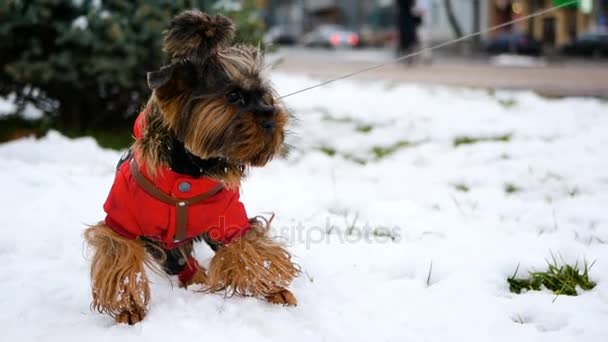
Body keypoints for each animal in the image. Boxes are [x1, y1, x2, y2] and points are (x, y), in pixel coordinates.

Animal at [85, 10, 300, 324]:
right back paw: (194, 276)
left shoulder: (229, 220)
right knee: (177, 259)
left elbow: (250, 248)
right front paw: (128, 308)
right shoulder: (122, 222)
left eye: (265, 96)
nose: (272, 116)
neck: (189, 170)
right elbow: (121, 261)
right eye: (233, 96)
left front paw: (275, 290)